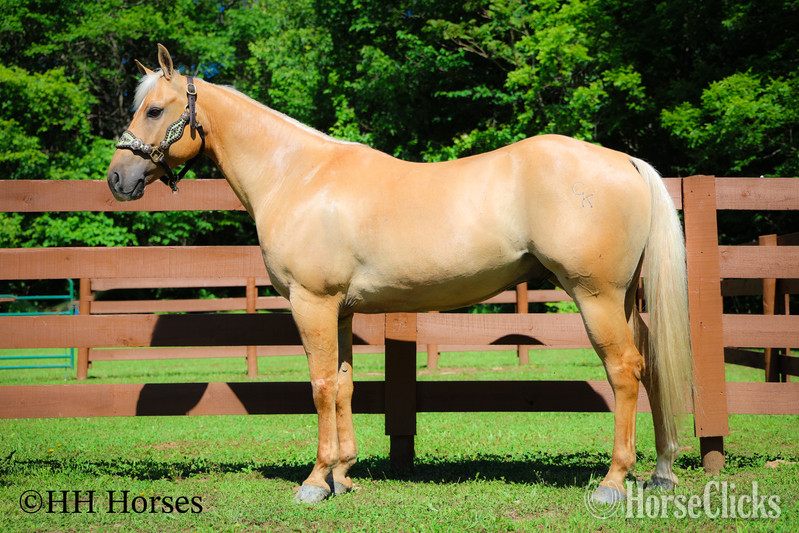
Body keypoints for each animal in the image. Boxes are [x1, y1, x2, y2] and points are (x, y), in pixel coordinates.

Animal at [108, 45, 692, 504]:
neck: (297, 175)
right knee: (651, 365)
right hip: (623, 299)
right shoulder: (339, 311)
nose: (117, 178)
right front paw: (343, 476)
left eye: (154, 109)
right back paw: (660, 473)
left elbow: (320, 385)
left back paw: (613, 482)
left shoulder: (311, 303)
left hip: (595, 297)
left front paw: (315, 481)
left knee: (625, 370)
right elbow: (343, 385)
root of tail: (624, 162)